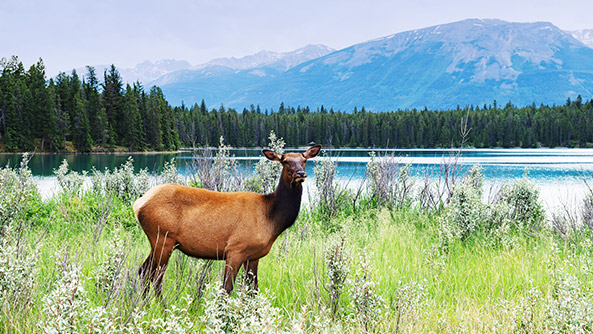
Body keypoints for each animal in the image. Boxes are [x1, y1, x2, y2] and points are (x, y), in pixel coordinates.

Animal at [132, 145, 322, 294]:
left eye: (304, 160)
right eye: (285, 161)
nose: (301, 173)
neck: (271, 218)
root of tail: (138, 204)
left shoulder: (253, 256)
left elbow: (253, 290)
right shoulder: (235, 249)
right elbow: (226, 289)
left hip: (159, 242)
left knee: (143, 272)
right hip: (163, 238)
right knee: (156, 277)